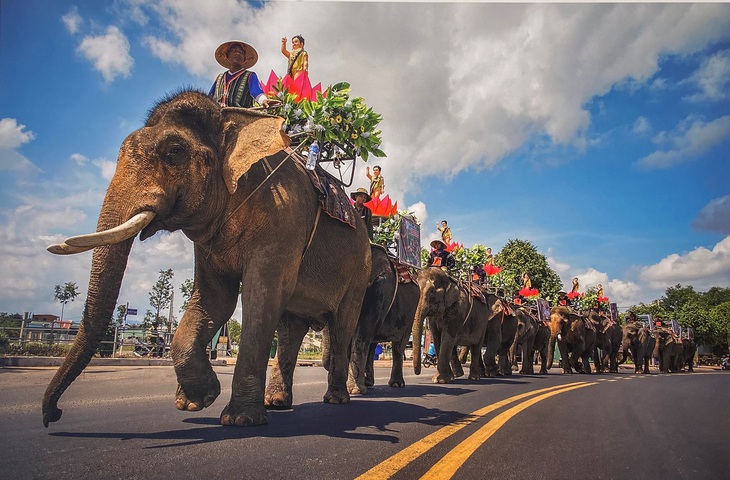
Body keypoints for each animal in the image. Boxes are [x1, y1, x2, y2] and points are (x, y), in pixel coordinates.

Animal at [41, 91, 370, 428]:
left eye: (174, 152)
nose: (53, 414)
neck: (233, 120)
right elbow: (216, 299)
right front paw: (196, 401)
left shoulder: (283, 219)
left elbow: (262, 296)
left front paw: (239, 420)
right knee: (292, 328)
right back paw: (277, 402)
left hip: (360, 272)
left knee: (342, 325)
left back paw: (336, 398)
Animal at [346, 244, 416, 394]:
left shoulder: (379, 291)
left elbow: (361, 332)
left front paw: (355, 391)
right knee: (372, 344)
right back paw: (368, 383)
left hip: (410, 316)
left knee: (398, 346)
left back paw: (396, 384)